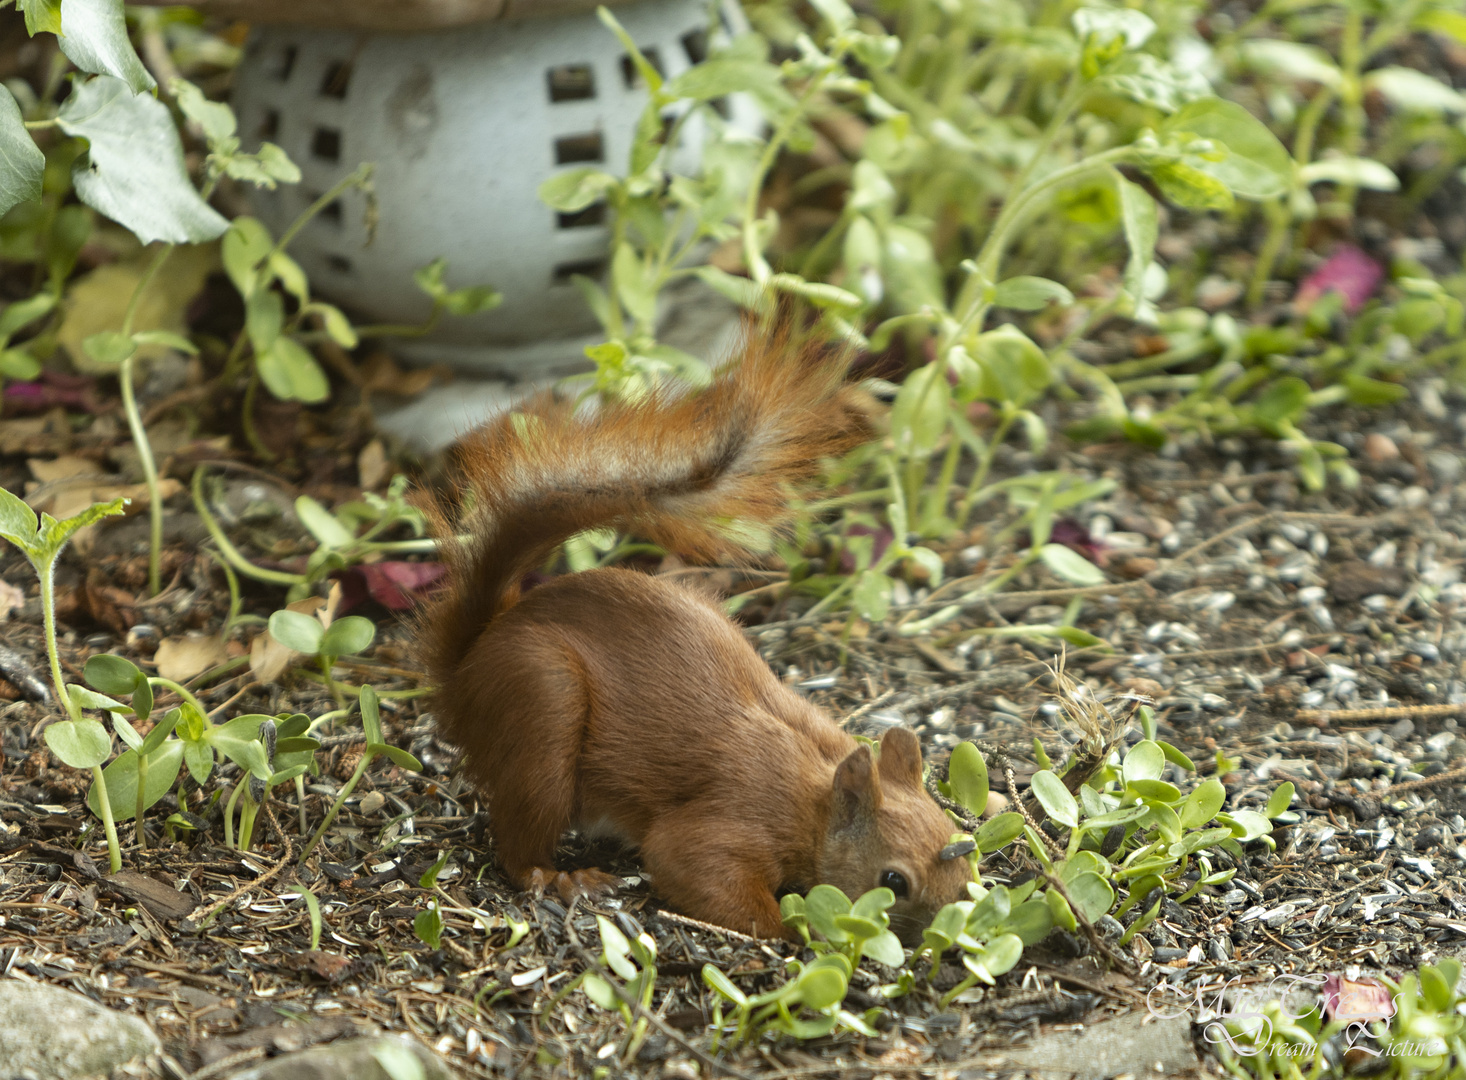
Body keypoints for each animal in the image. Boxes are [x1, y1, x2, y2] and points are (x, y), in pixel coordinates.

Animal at [422, 332, 973, 937]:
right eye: (893, 881)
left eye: (955, 839)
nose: (951, 925)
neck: (816, 798)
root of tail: (468, 663)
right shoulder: (736, 819)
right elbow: (691, 865)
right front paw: (797, 930)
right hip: (542, 704)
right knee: (519, 845)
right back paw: (562, 878)